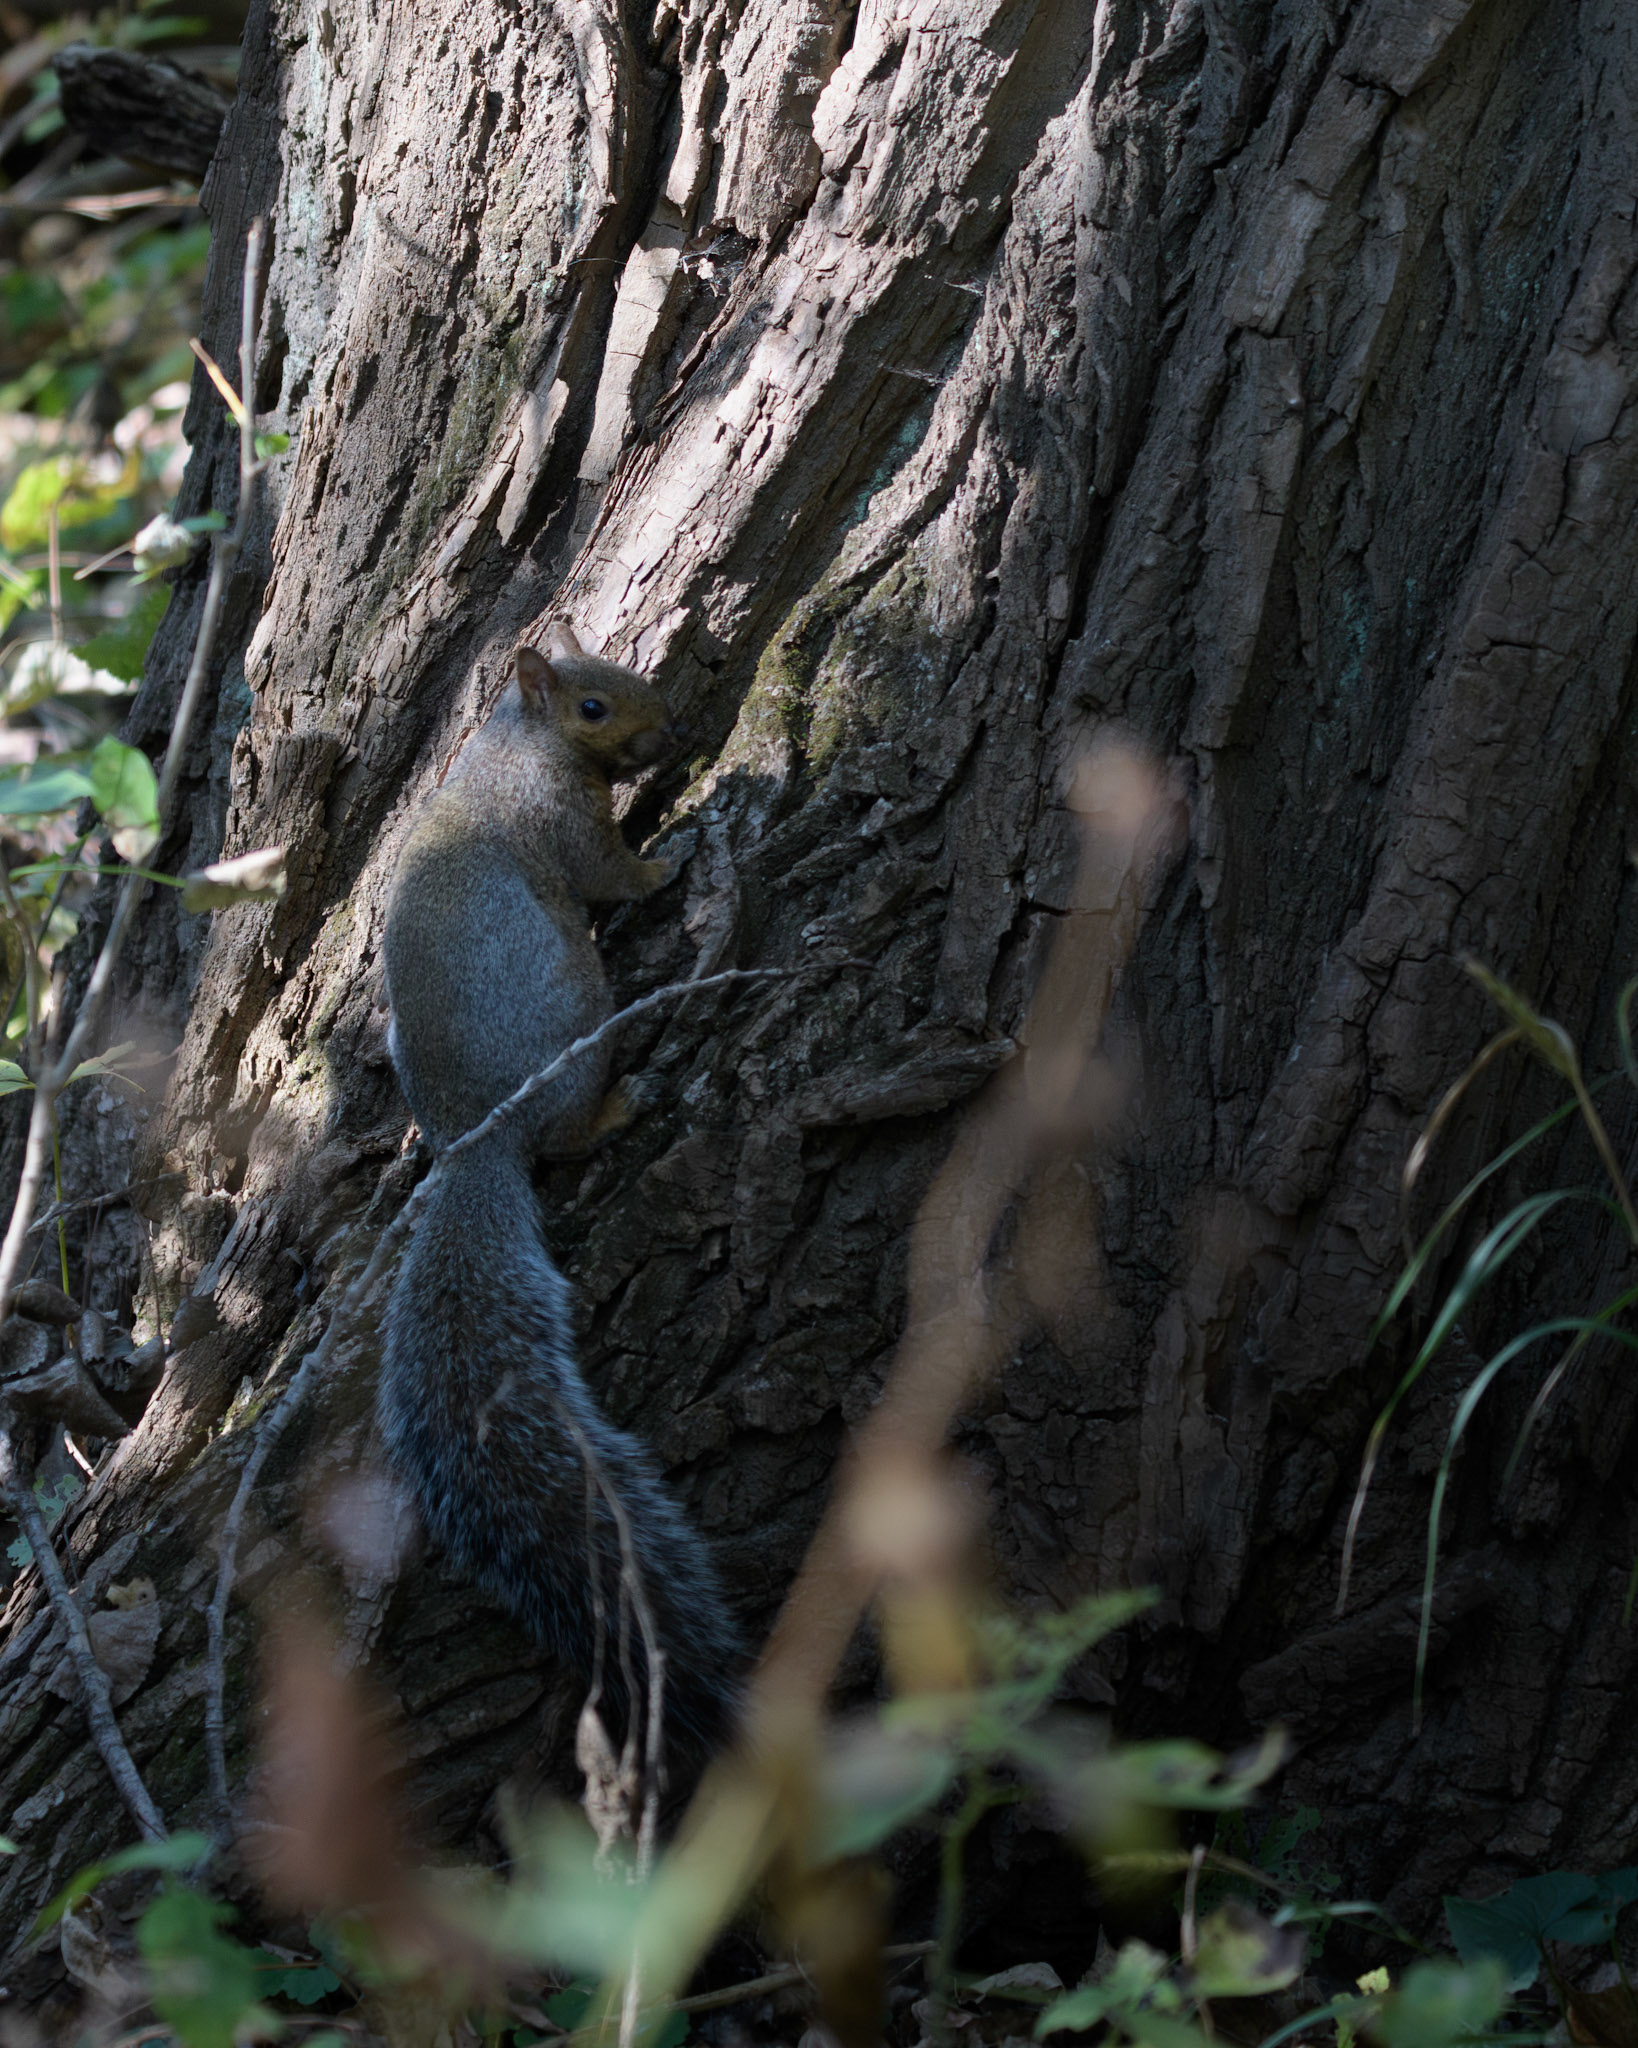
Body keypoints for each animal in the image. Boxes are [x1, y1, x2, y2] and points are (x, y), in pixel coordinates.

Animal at [377, 623, 742, 1759]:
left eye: (628, 674)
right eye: (593, 705)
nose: (672, 727)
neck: (515, 745)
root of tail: (476, 1140)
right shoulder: (564, 830)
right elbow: (612, 873)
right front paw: (667, 854)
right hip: (577, 1000)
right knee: (571, 1126)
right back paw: (617, 1106)